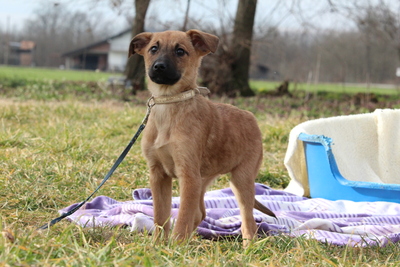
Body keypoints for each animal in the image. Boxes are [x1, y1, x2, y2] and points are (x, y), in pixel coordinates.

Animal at [128, 28, 276, 245]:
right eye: (153, 49)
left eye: (180, 51)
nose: (159, 67)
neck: (170, 104)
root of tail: (251, 117)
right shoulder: (159, 174)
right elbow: (160, 216)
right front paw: (157, 245)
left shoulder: (188, 175)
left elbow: (181, 218)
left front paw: (174, 247)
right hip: (203, 179)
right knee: (200, 213)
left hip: (241, 179)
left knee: (248, 221)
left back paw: (248, 246)